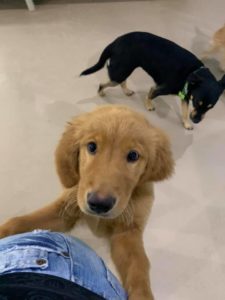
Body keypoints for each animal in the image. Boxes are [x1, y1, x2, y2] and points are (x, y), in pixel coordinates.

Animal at [0, 105, 174, 300]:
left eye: (133, 155)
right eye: (91, 146)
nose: (100, 204)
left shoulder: (128, 231)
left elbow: (139, 267)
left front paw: (142, 294)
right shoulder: (66, 208)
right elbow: (18, 221)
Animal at [80, 31, 224, 129]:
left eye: (210, 107)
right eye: (197, 103)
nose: (196, 120)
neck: (193, 72)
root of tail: (115, 42)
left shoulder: (186, 96)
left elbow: (184, 112)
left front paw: (186, 123)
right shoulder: (160, 88)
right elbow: (150, 94)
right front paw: (148, 105)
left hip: (124, 69)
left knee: (122, 81)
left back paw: (126, 91)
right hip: (119, 72)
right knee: (103, 83)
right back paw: (101, 92)